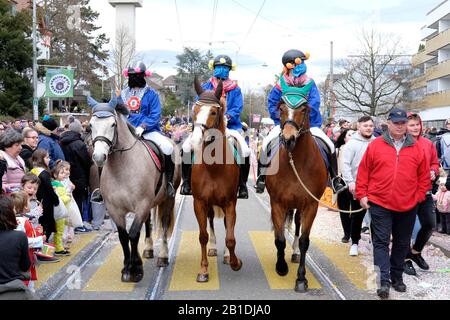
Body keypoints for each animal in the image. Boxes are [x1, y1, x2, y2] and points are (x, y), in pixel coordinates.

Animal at [89, 98, 180, 282]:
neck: (122, 168)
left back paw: (163, 257)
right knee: (148, 223)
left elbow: (133, 234)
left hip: (168, 199)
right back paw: (148, 250)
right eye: (90, 125)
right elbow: (124, 236)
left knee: (164, 224)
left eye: (113, 124)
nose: (99, 157)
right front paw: (127, 268)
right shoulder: (115, 209)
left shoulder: (141, 205)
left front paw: (135, 269)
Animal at [190, 77, 243, 282]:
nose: (195, 141)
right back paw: (213, 248)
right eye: (194, 110)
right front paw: (203, 270)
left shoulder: (230, 202)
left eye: (213, 111)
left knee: (229, 225)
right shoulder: (199, 202)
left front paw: (235, 262)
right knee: (211, 221)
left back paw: (228, 256)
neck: (213, 167)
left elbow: (230, 237)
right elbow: (203, 236)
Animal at [266, 95, 328, 292]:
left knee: (298, 226)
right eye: (281, 108)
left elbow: (304, 241)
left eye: (304, 109)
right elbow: (279, 239)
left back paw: (294, 253)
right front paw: (281, 267)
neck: (296, 163)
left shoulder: (311, 206)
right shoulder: (277, 204)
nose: (289, 139)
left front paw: (301, 278)